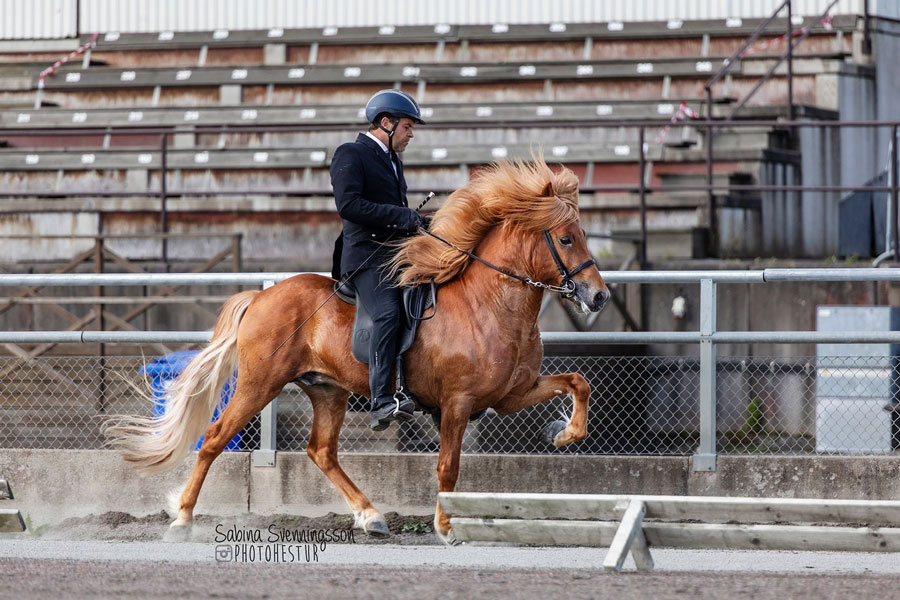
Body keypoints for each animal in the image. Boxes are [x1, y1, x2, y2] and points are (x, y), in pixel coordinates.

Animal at [105, 156, 612, 544]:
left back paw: (370, 517)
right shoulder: (458, 402)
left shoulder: (510, 394)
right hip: (258, 384)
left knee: (321, 452)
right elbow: (448, 467)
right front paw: (446, 528)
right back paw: (182, 520)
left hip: (327, 390)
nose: (600, 297)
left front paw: (563, 434)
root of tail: (262, 297)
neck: (489, 304)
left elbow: (579, 382)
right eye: (566, 238)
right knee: (213, 439)